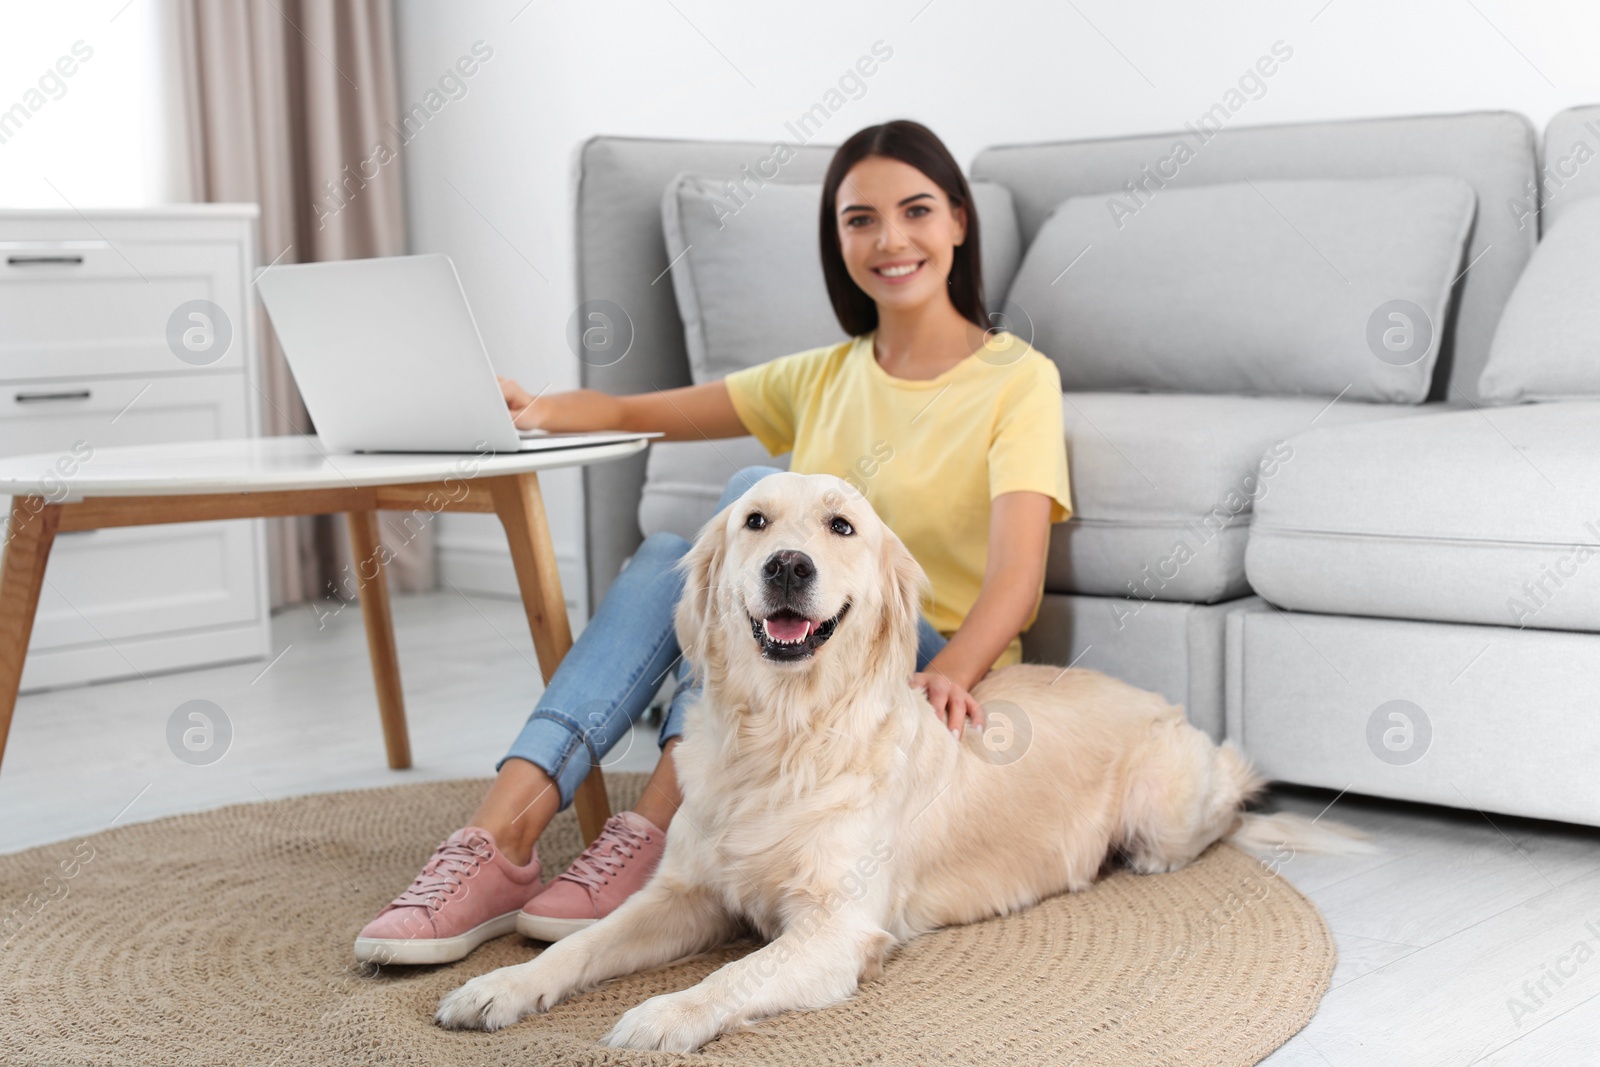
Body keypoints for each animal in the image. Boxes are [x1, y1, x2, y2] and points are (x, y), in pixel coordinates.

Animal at [435, 473, 1363, 1049]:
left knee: (1221, 801)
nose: (789, 565)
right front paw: (499, 987)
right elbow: (581, 946)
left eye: (841, 526)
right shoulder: (688, 892)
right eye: (755, 521)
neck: (786, 735)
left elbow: (735, 973)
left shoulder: (835, 929)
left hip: (1166, 808)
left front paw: (664, 1012)